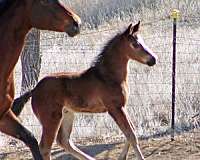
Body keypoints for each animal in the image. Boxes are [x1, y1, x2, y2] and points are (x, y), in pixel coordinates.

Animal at [11, 21, 157, 159]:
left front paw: (122, 157)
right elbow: (131, 134)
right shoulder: (115, 108)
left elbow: (130, 132)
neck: (108, 76)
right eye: (135, 44)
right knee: (45, 147)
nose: (153, 59)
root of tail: (34, 90)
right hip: (51, 119)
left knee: (64, 141)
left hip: (67, 114)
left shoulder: (121, 107)